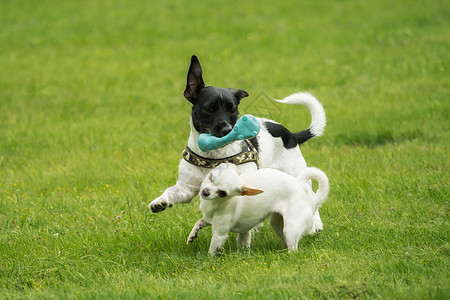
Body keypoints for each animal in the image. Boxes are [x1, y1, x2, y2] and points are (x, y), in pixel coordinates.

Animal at [149, 55, 326, 232]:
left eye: (233, 110)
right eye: (209, 109)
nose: (228, 129)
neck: (213, 156)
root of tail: (292, 136)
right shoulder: (186, 188)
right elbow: (171, 192)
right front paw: (160, 202)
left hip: (295, 174)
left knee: (310, 196)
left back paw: (315, 224)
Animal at [186, 163, 330, 254]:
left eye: (222, 193)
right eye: (211, 177)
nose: (205, 192)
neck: (215, 204)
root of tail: (313, 200)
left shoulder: (219, 235)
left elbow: (212, 250)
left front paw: (207, 261)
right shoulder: (209, 219)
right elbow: (199, 222)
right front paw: (193, 235)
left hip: (291, 228)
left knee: (293, 249)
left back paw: (287, 255)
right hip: (277, 223)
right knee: (284, 240)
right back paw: (280, 251)